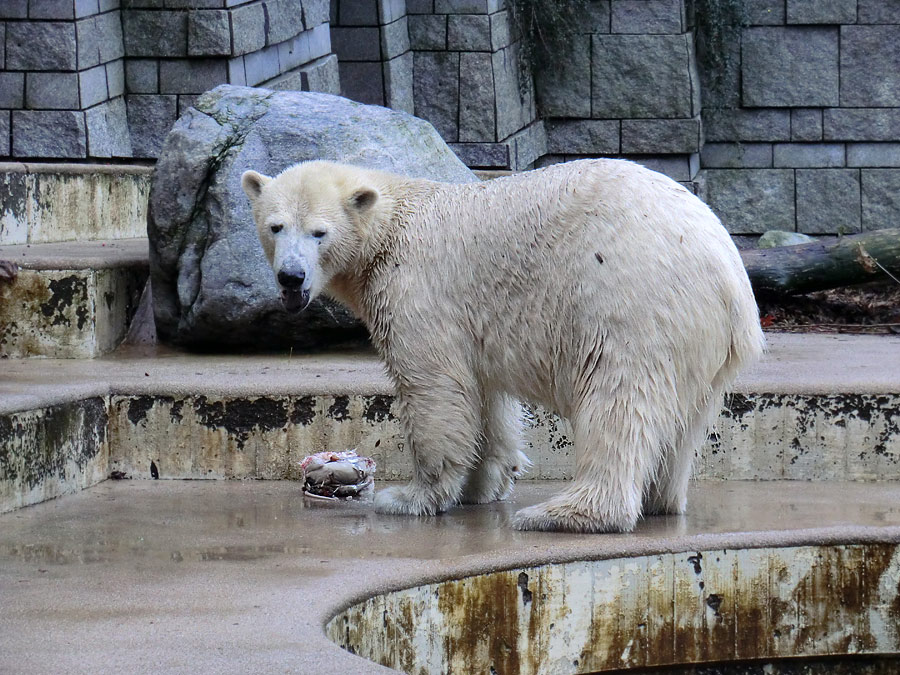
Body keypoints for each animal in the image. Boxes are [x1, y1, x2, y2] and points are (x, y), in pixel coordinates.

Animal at [243, 160, 764, 532]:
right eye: (275, 226)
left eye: (319, 232)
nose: (291, 277)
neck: (392, 226)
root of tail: (729, 273)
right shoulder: (474, 323)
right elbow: (485, 397)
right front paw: (483, 485)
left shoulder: (417, 289)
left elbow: (434, 388)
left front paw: (412, 497)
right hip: (700, 341)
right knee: (684, 419)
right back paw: (658, 500)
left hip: (630, 299)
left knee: (618, 398)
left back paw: (566, 514)